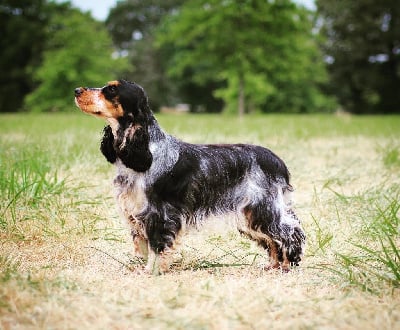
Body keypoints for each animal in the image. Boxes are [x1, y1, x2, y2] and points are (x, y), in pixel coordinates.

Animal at [76, 79, 306, 274]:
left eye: (111, 90)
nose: (77, 90)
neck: (148, 150)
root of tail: (277, 161)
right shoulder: (136, 210)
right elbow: (143, 244)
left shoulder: (159, 214)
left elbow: (156, 246)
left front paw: (152, 271)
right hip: (251, 214)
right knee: (274, 238)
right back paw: (273, 266)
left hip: (263, 208)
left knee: (290, 231)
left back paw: (287, 265)